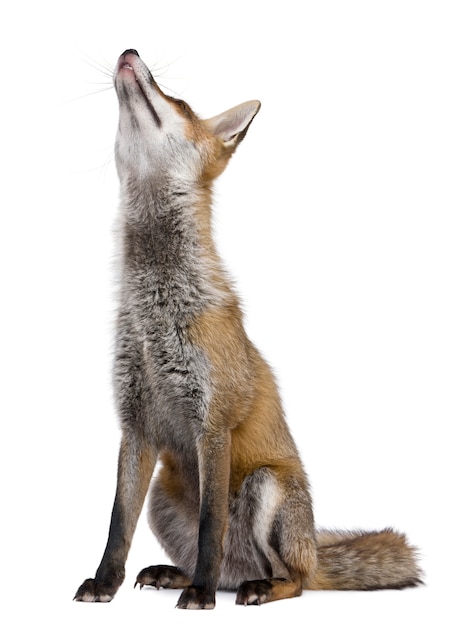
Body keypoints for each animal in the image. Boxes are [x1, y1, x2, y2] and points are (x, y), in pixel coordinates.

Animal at [74, 50, 424, 608]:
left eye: (179, 101)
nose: (130, 54)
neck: (154, 315)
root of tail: (312, 551)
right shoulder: (135, 424)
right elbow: (116, 524)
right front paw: (105, 584)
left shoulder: (213, 422)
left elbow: (210, 525)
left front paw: (200, 596)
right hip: (161, 496)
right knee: (224, 563)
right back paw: (185, 575)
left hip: (265, 487)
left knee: (293, 581)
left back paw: (247, 586)